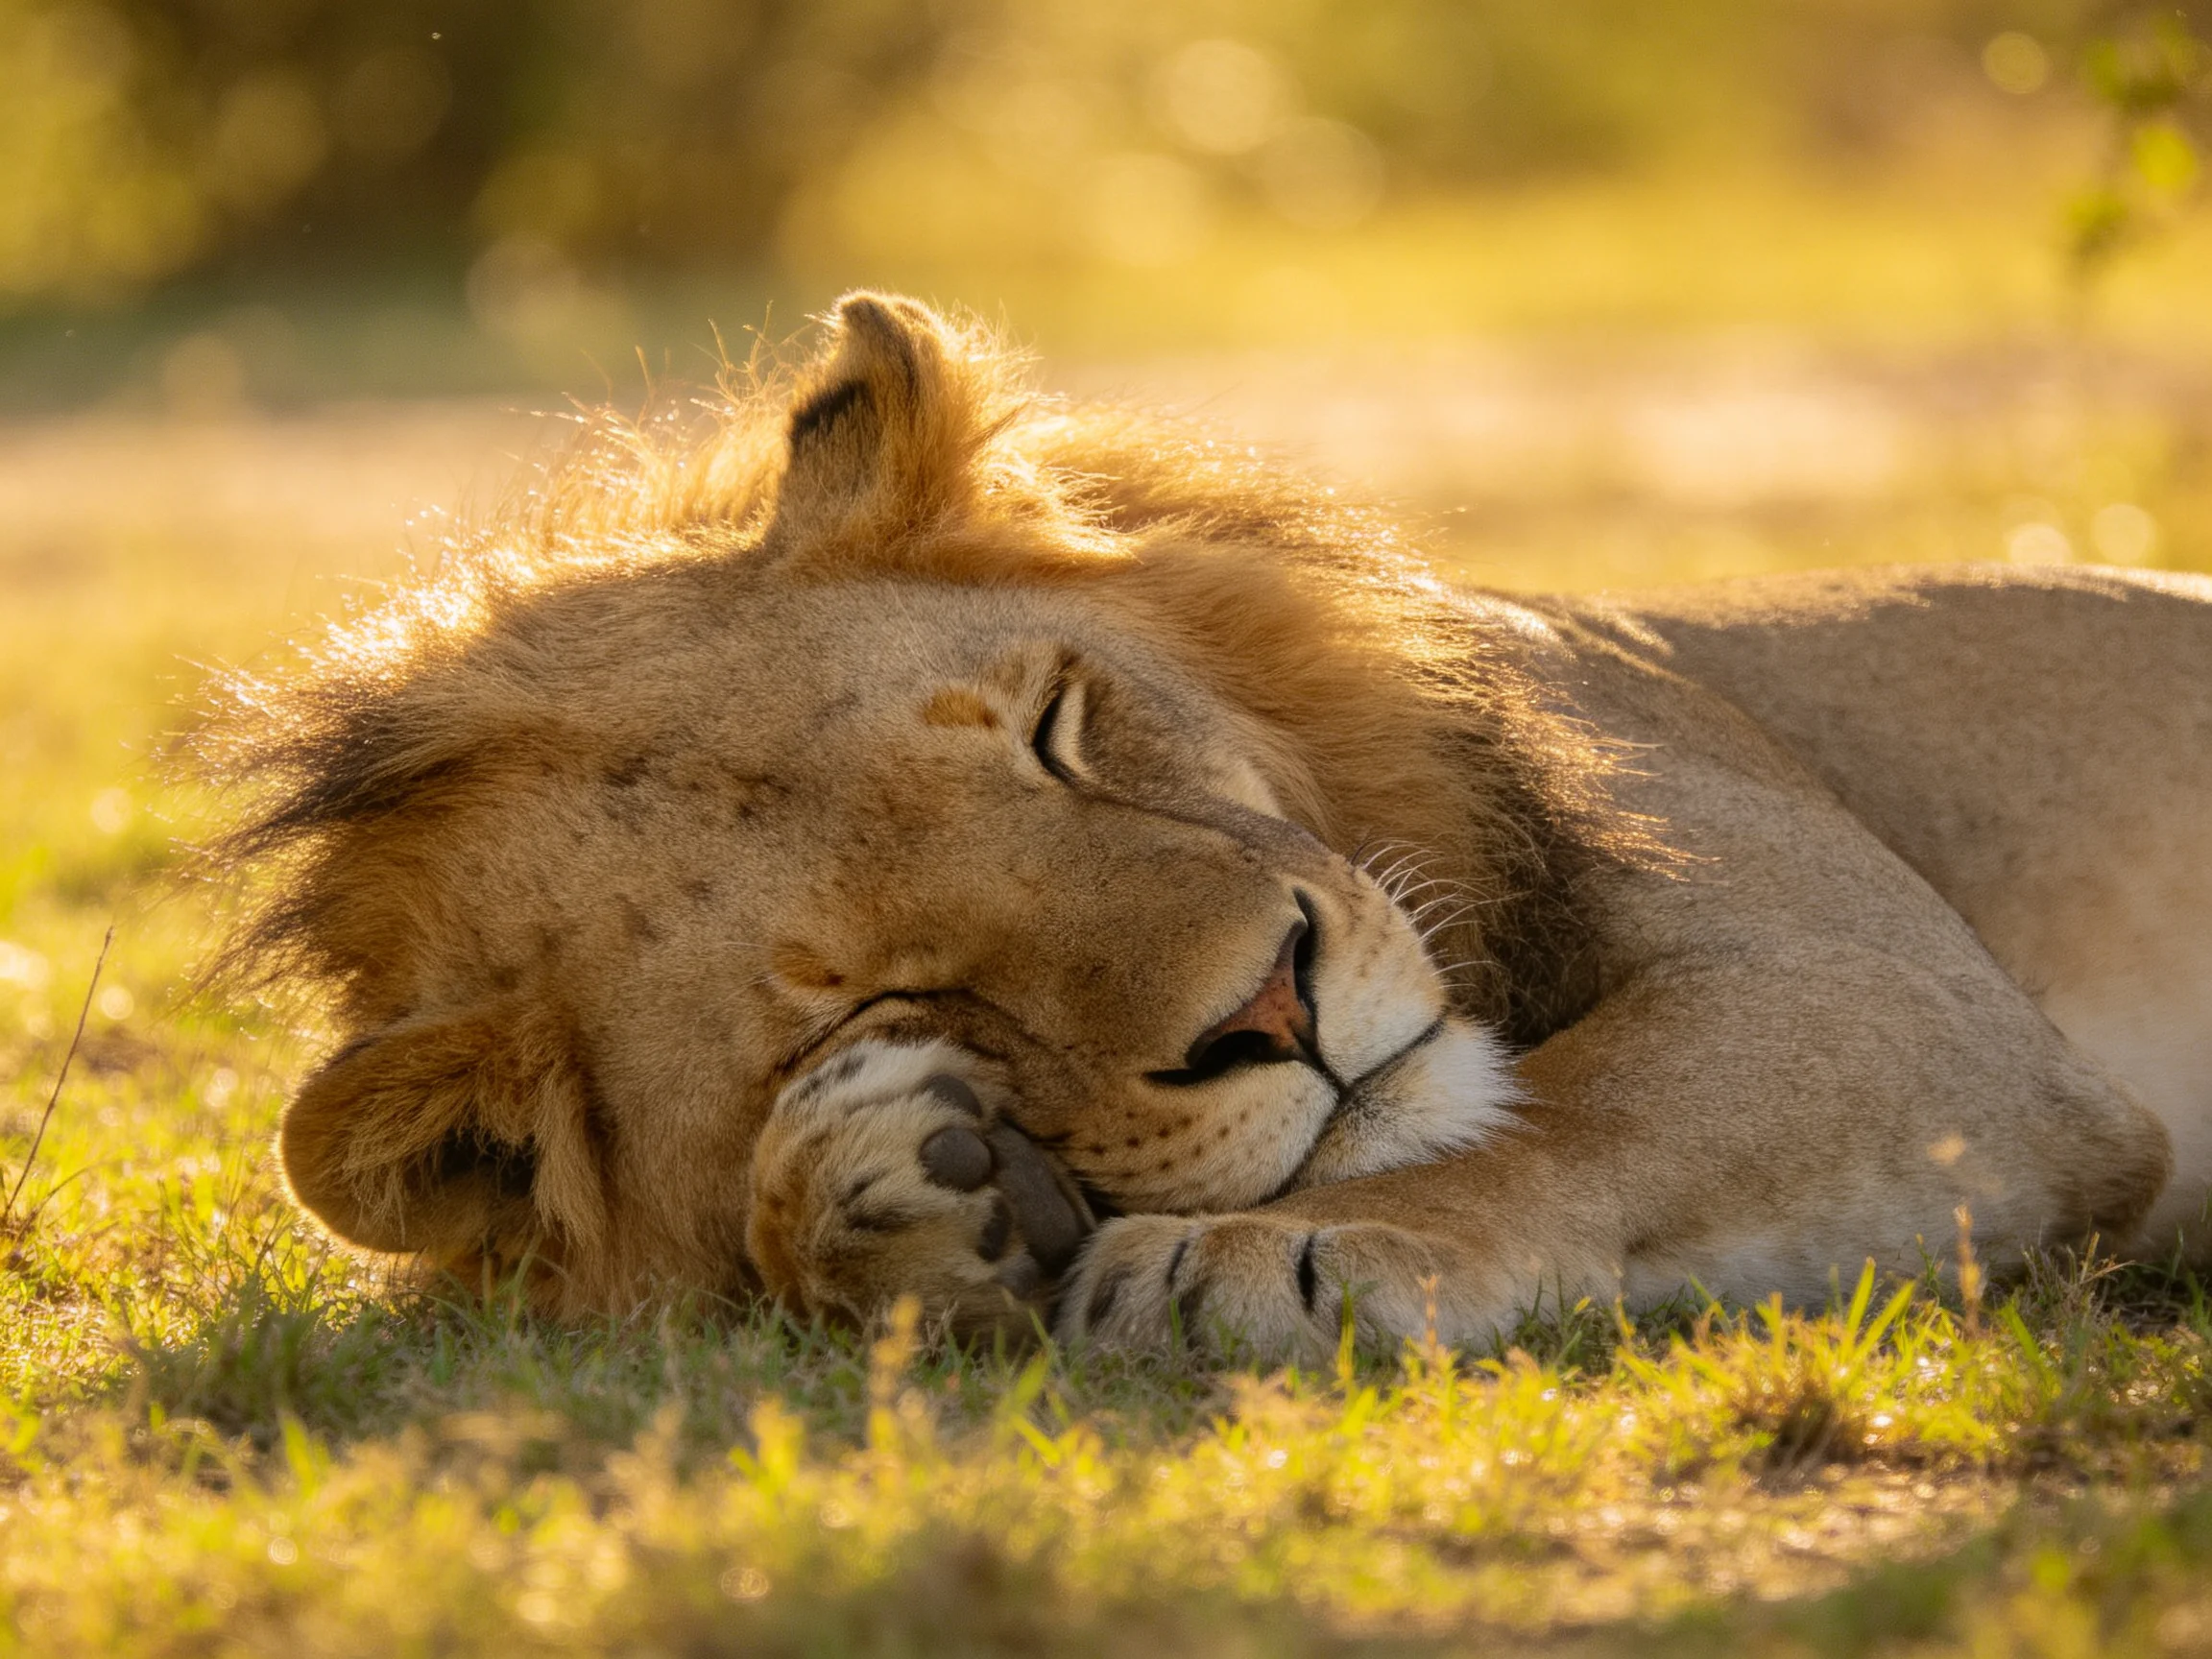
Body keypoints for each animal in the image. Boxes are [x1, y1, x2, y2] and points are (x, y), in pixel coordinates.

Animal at [211, 293, 2212, 1359]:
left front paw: (1250, 1249)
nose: (1273, 1005)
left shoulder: (1900, 1001)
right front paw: (894, 1196)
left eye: (1056, 732)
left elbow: (1584, 1108)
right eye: (874, 998)